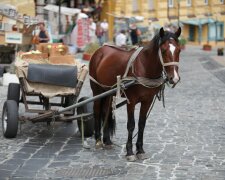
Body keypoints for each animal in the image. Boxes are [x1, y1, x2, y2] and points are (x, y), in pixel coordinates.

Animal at [89, 27, 182, 161]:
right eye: (163, 50)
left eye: (179, 50)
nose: (174, 78)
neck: (144, 67)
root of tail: (100, 50)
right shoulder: (131, 101)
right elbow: (131, 125)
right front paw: (129, 152)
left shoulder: (147, 100)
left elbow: (141, 124)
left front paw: (140, 150)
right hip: (97, 90)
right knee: (96, 111)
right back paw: (98, 141)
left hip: (109, 92)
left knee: (106, 111)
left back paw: (107, 141)